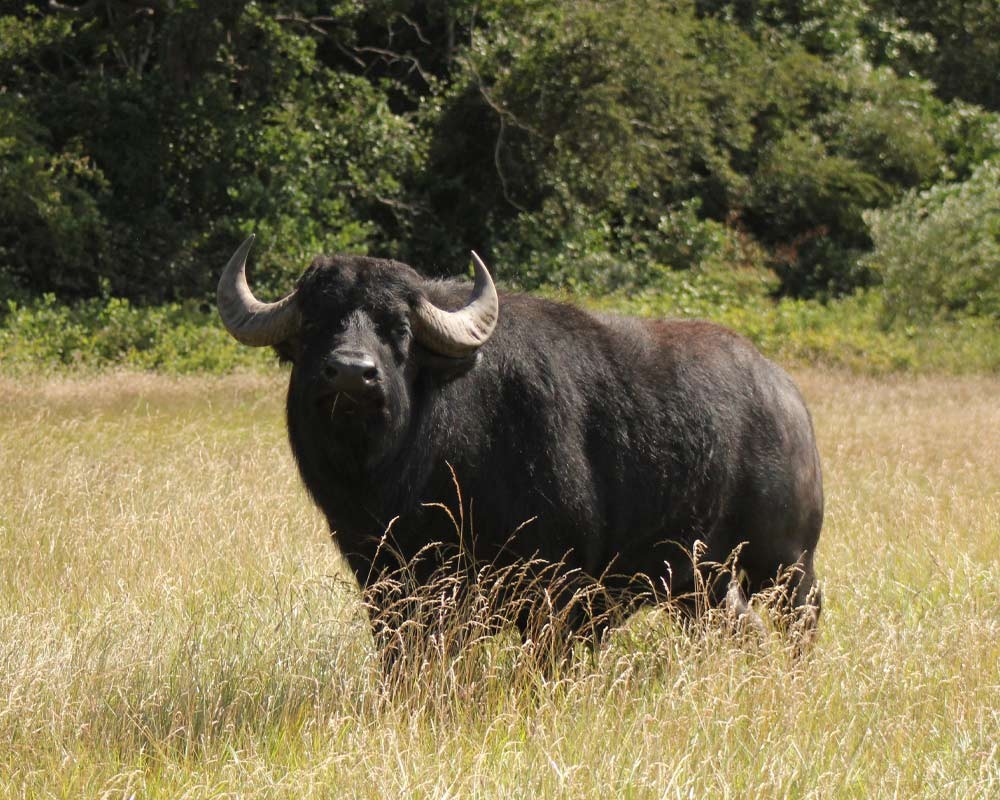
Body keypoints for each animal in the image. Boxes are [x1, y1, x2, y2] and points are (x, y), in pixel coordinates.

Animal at [223, 236, 824, 656]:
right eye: (314, 325)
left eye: (399, 330)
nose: (351, 372)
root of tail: (787, 396)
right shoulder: (387, 581)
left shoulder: (558, 585)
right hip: (702, 581)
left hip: (786, 563)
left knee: (803, 619)